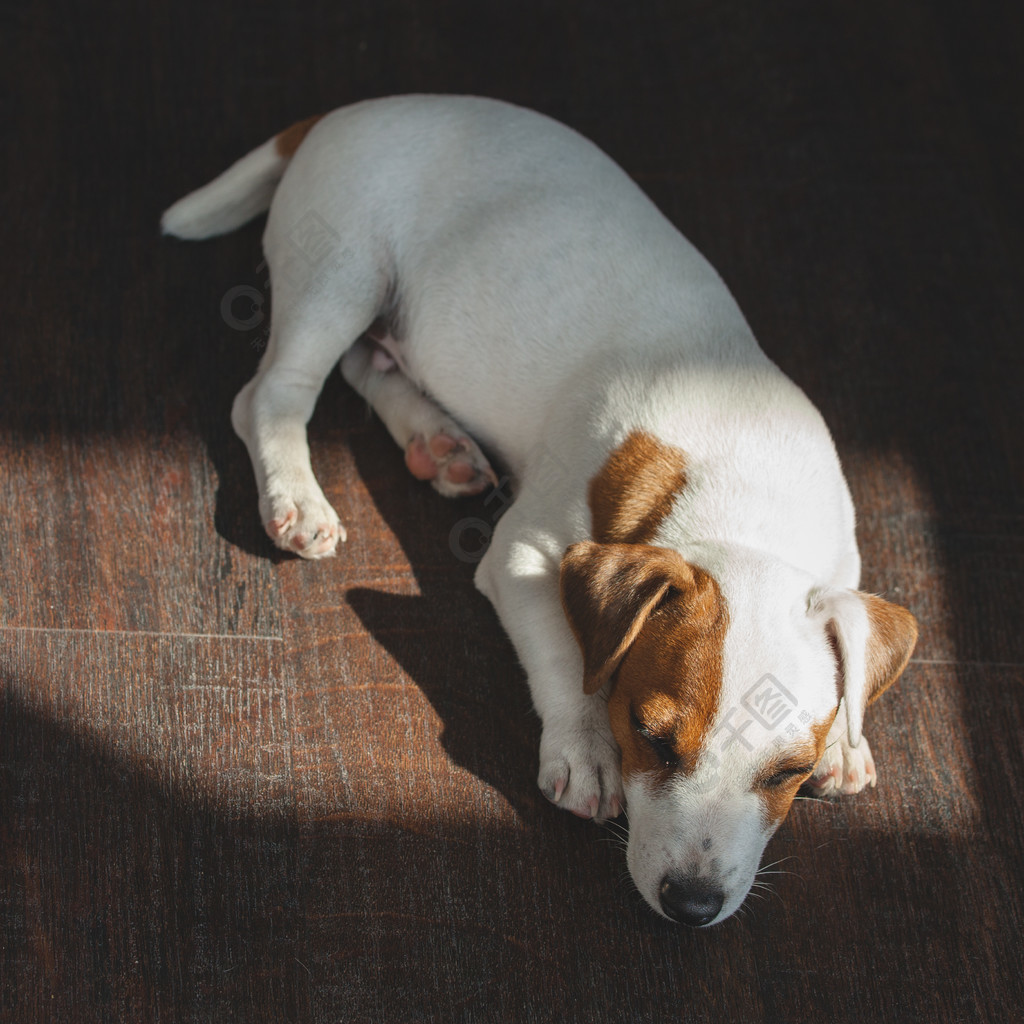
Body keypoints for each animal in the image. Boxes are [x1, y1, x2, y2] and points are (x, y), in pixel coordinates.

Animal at [161, 97, 921, 929]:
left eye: (788, 769)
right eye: (650, 738)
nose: (691, 904)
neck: (744, 505)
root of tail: (351, 110)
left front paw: (848, 740)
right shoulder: (523, 555)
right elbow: (567, 656)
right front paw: (584, 749)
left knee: (369, 361)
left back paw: (437, 443)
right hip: (343, 269)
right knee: (274, 390)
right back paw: (298, 495)